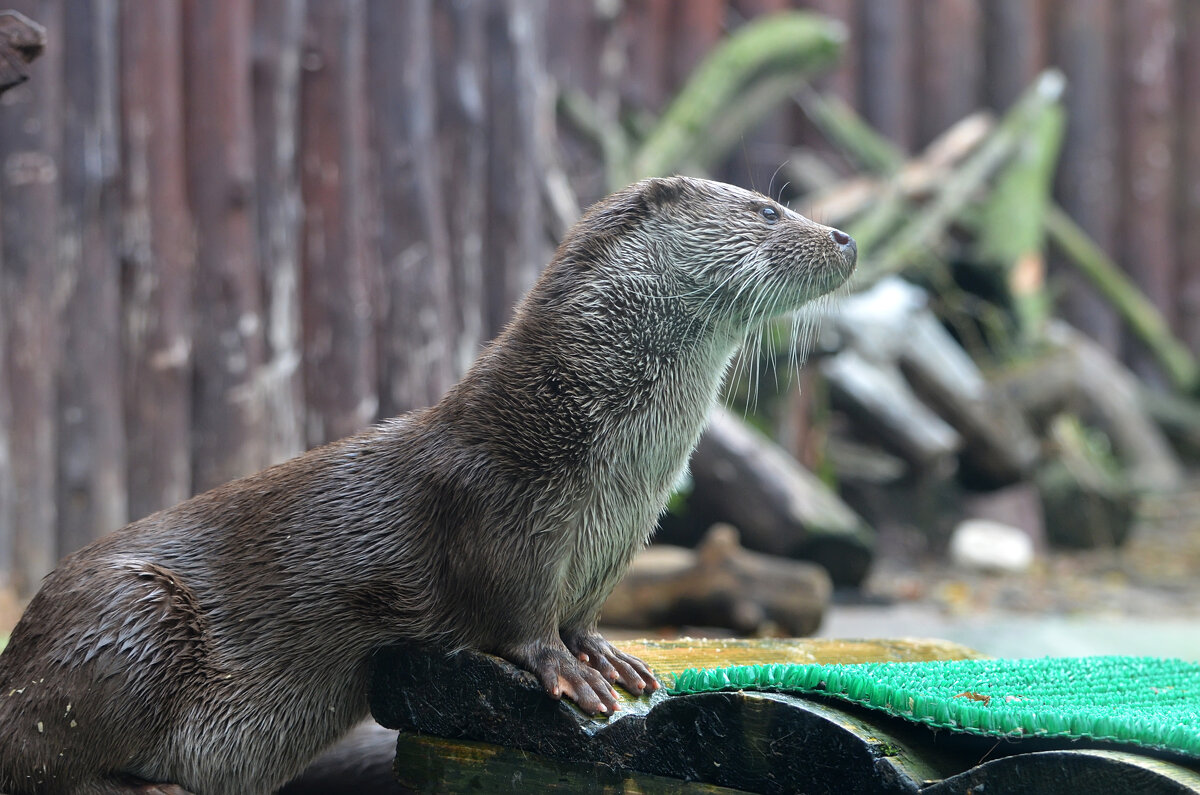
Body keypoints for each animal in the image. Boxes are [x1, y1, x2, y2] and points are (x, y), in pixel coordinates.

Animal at [0, 177, 854, 792]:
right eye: (769, 209)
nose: (844, 236)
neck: (599, 465)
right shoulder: (496, 515)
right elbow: (516, 617)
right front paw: (568, 671)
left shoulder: (614, 544)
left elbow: (581, 614)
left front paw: (609, 656)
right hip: (126, 615)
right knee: (42, 762)